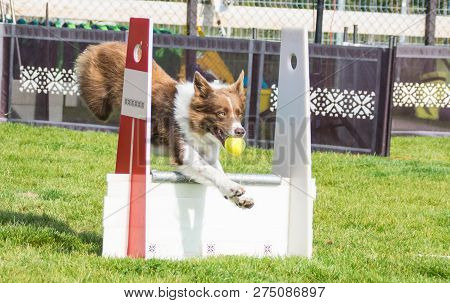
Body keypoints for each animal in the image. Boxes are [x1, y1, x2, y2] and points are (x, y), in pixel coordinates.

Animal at [76, 42, 255, 209]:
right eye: (221, 113)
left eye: (239, 113)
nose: (240, 131)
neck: (197, 125)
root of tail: (102, 44)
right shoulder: (184, 155)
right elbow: (210, 171)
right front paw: (233, 188)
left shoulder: (208, 155)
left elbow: (218, 171)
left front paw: (238, 197)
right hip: (99, 103)